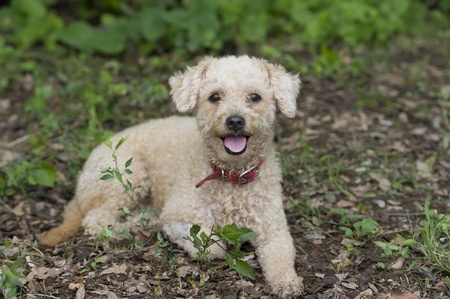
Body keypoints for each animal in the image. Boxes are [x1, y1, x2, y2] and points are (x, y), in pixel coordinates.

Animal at [40, 55, 304, 298]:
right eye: (215, 97)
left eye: (255, 97)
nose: (235, 120)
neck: (232, 175)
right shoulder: (176, 215)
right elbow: (210, 245)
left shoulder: (274, 229)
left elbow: (281, 256)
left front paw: (288, 283)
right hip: (127, 177)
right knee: (98, 221)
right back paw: (136, 223)